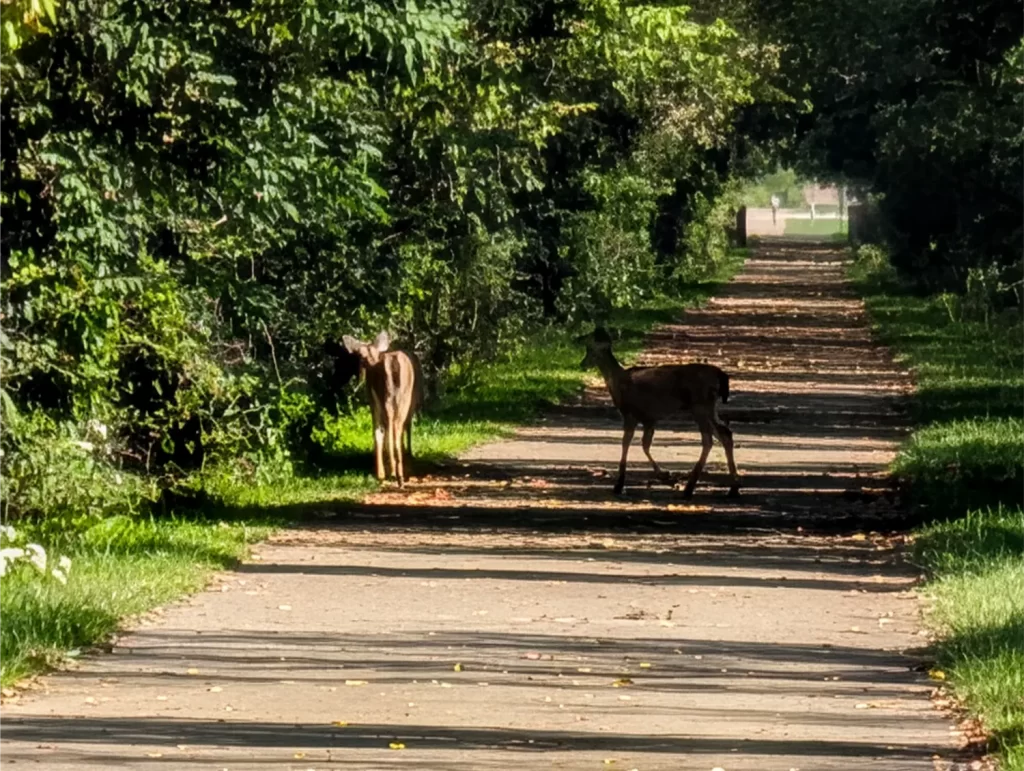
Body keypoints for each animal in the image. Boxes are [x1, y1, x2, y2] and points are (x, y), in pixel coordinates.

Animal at [342, 331, 424, 486]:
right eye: (359, 356)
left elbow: (380, 432)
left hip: (381, 400)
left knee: (382, 430)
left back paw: (386, 473)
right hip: (403, 398)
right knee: (398, 427)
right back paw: (398, 473)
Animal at [579, 326, 740, 498]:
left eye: (589, 349)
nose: (582, 364)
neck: (616, 381)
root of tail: (721, 376)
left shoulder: (630, 413)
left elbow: (627, 443)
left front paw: (619, 485)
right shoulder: (649, 418)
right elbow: (645, 444)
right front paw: (663, 474)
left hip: (700, 405)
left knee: (709, 439)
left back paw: (690, 488)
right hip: (709, 407)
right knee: (724, 433)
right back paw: (733, 488)